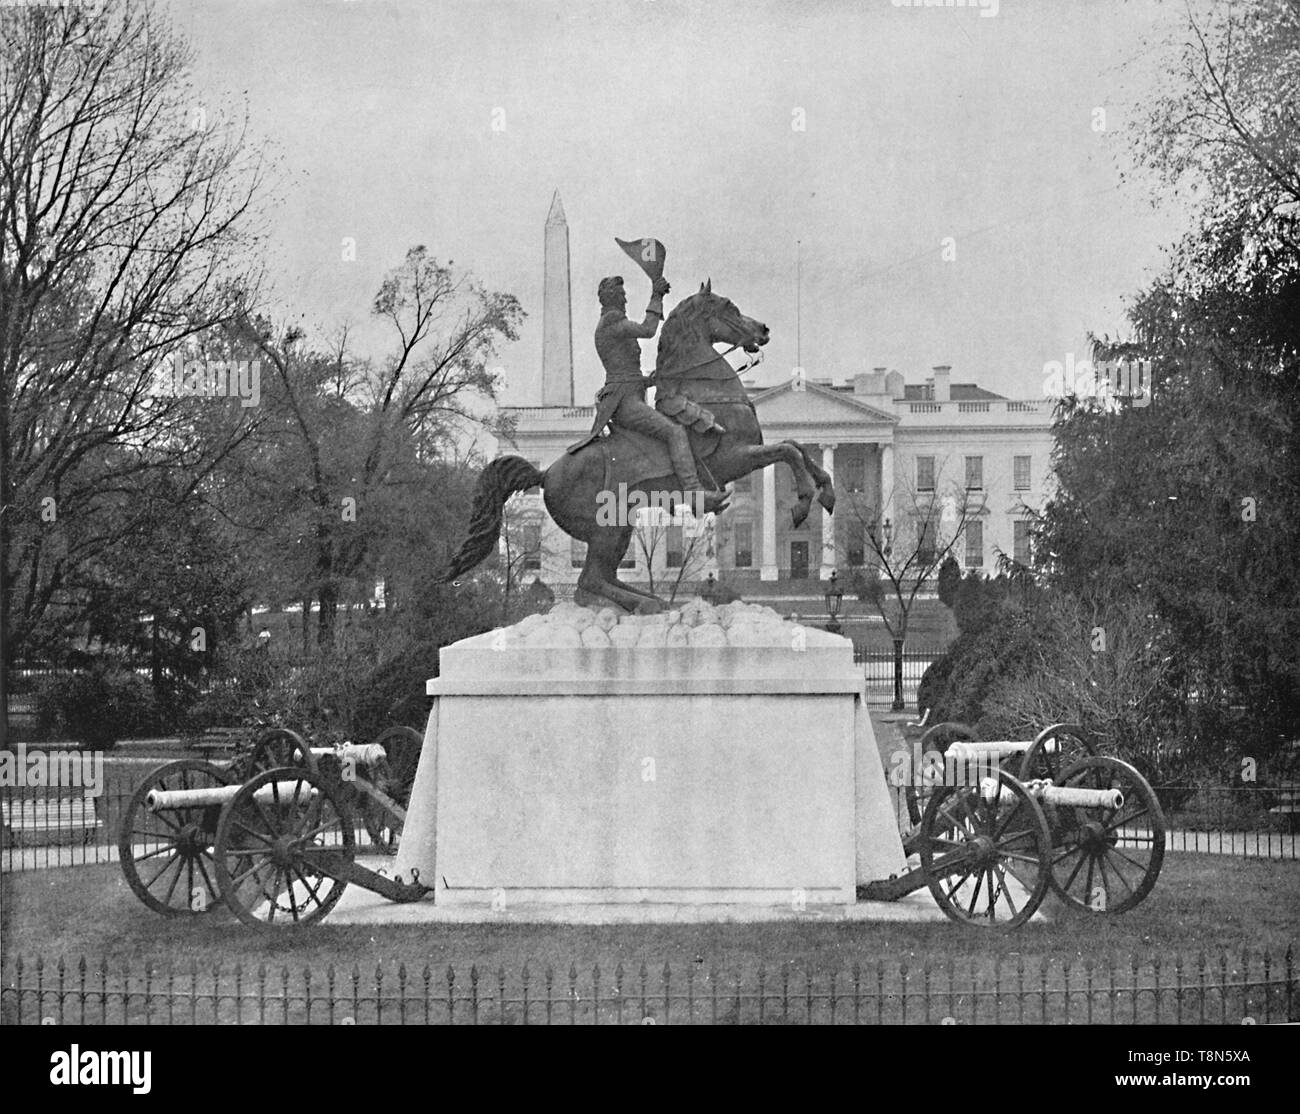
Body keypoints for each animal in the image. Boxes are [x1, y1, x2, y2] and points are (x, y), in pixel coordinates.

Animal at [441, 278, 837, 608]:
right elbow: (787, 450)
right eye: (729, 306)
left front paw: (826, 492)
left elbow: (798, 445)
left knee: (600, 579)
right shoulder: (734, 459)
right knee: (589, 580)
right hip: (606, 527)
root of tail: (546, 474)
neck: (708, 392)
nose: (764, 329)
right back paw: (647, 603)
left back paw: (652, 600)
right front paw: (803, 503)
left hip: (620, 524)